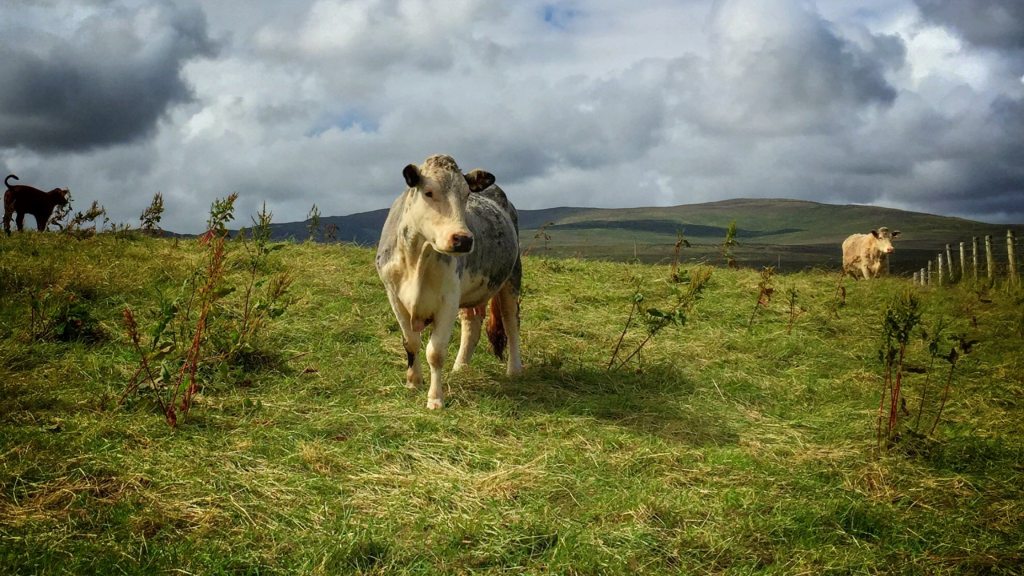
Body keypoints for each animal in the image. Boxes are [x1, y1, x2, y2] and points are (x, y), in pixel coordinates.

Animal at [374, 153, 524, 407]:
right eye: (428, 192)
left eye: (466, 195)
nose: (463, 239)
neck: (417, 259)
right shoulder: (394, 296)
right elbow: (410, 342)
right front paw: (413, 382)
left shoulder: (448, 300)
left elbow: (435, 352)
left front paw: (435, 399)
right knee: (472, 324)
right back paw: (460, 367)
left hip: (512, 277)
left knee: (511, 322)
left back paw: (514, 370)